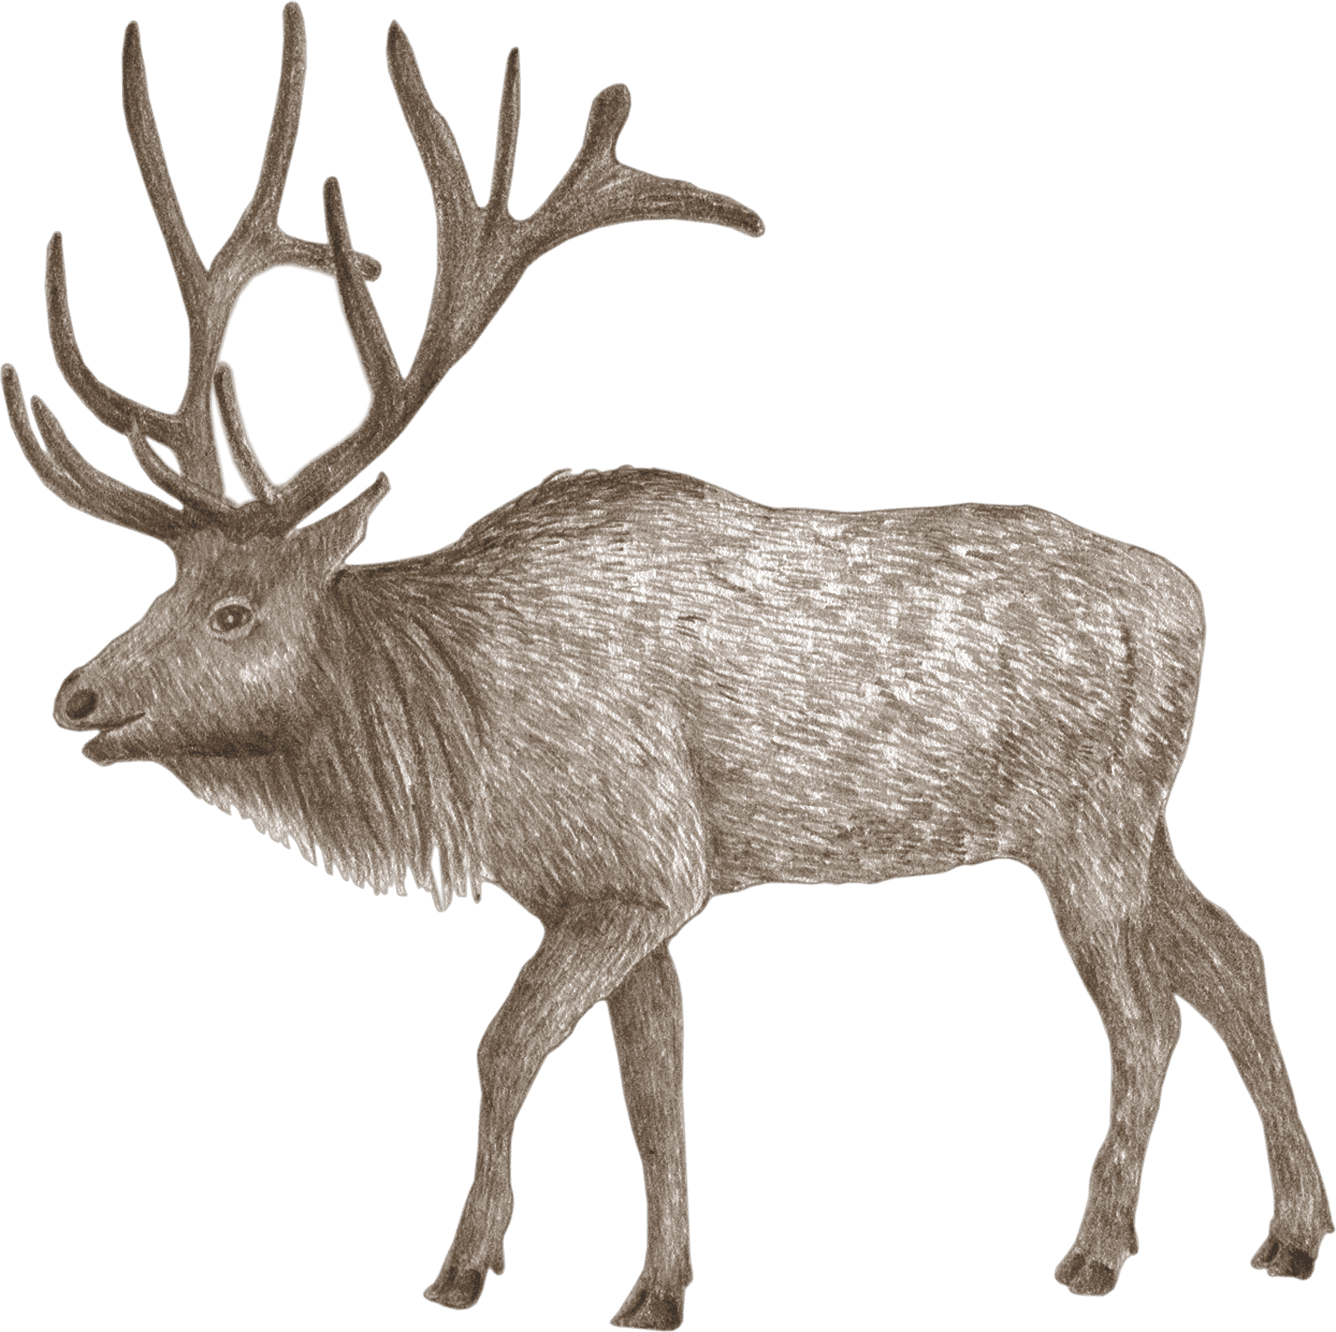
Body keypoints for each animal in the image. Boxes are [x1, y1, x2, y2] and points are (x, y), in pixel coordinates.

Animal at [3, 5, 1330, 1329]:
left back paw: (1098, 1249)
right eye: (165, 588)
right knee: (1233, 955)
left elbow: (504, 1047)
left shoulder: (646, 868)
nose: (77, 692)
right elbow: (655, 1087)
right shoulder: (604, 890)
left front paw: (465, 1264)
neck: (461, 744)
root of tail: (1187, 601)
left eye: (232, 611)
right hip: (1140, 818)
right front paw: (657, 1288)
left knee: (1146, 1013)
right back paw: (1290, 1231)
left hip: (1087, 825)